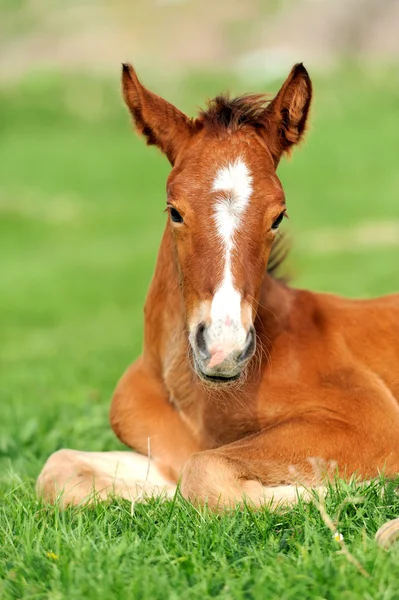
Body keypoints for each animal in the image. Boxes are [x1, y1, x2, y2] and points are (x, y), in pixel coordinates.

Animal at [37, 65, 399, 540]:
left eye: (278, 216)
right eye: (174, 210)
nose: (223, 350)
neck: (198, 401)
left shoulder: (369, 417)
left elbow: (204, 469)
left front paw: (337, 493)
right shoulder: (162, 451)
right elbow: (58, 468)